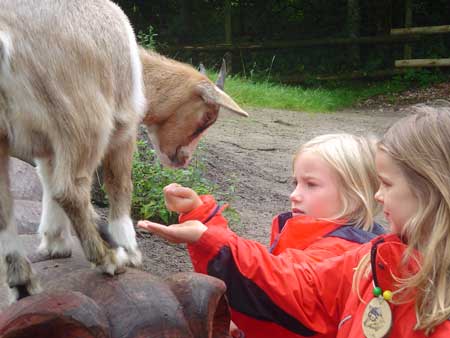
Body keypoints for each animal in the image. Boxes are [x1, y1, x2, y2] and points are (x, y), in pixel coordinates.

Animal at [0, 0, 248, 302]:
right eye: (207, 118)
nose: (183, 159)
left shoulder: (48, 144)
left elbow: (47, 182)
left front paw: (55, 242)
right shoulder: (124, 127)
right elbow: (120, 184)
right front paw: (129, 249)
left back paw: (23, 283)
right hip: (85, 116)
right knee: (70, 189)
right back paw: (108, 258)